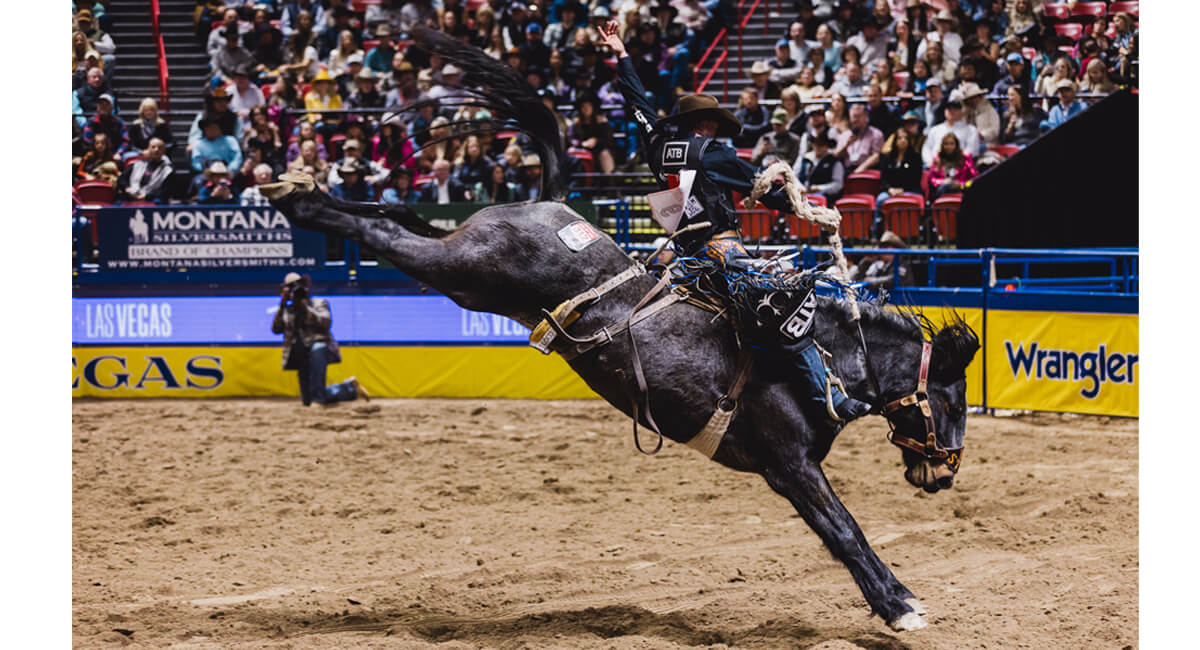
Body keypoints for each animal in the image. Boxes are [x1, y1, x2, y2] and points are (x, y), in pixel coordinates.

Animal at [260, 25, 974, 633]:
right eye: (954, 400)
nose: (944, 475)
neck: (823, 356)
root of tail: (546, 203)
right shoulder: (789, 465)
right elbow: (843, 529)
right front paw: (900, 605)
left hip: (463, 268)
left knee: (389, 216)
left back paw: (308, 185)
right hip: (463, 269)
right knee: (383, 233)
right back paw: (295, 194)